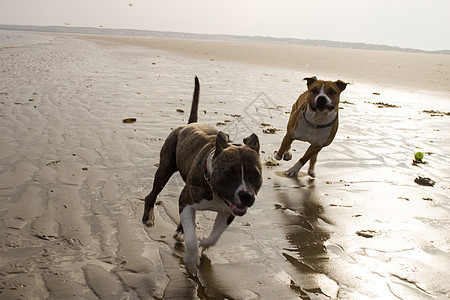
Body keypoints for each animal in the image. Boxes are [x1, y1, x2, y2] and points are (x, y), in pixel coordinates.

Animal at [141, 76, 260, 274]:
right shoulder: (187, 201)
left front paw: (203, 242)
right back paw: (149, 218)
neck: (214, 190)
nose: (246, 195)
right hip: (164, 169)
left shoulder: (228, 212)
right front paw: (190, 259)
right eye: (228, 172)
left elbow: (214, 237)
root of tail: (189, 125)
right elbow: (191, 239)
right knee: (153, 193)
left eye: (256, 175)